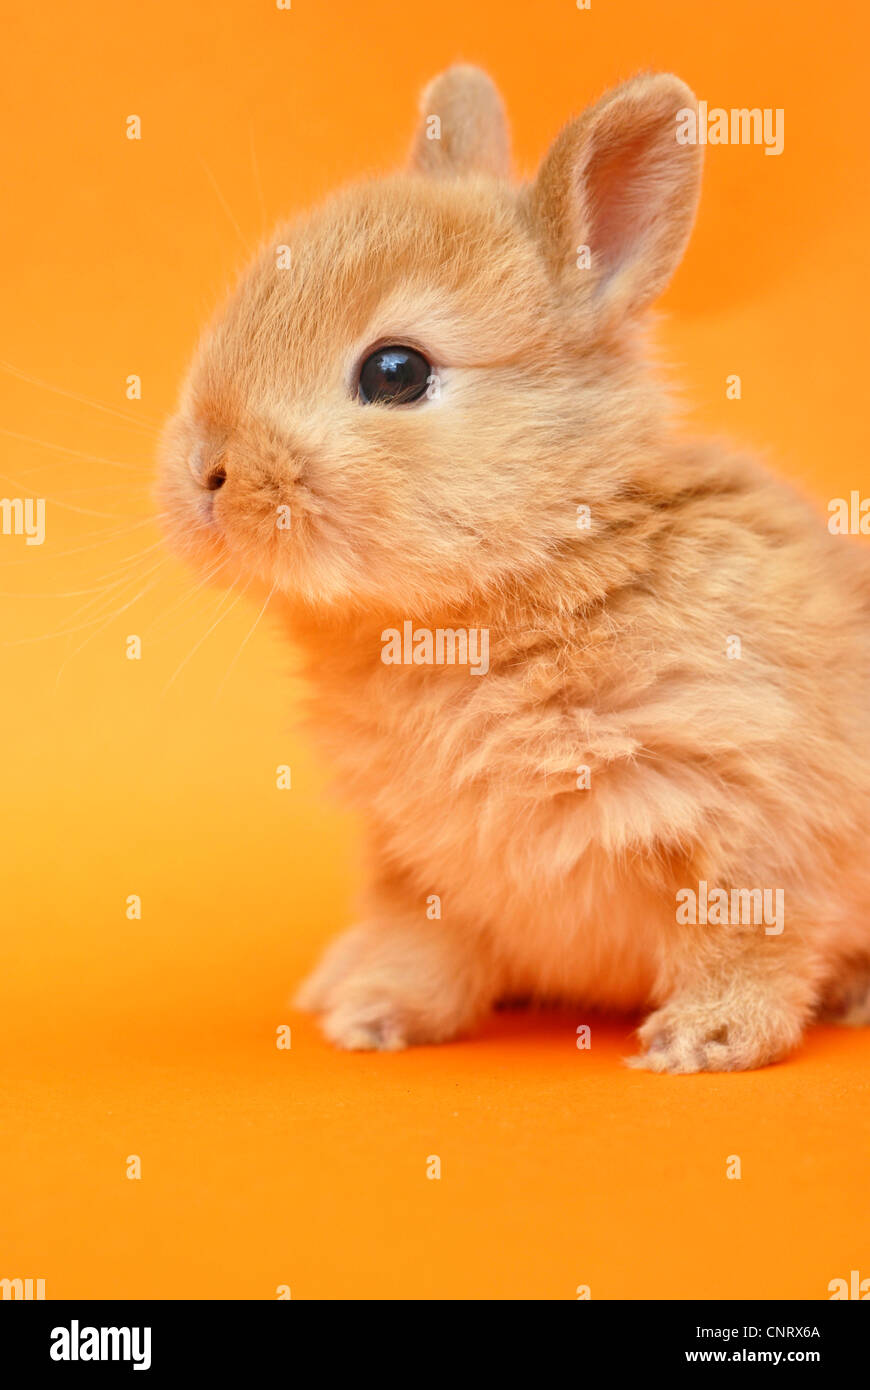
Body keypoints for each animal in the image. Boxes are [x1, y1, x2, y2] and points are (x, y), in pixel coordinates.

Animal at [158, 64, 870, 1072]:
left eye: (395, 372)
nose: (206, 474)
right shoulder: (416, 862)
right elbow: (421, 943)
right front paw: (375, 1016)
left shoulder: (751, 816)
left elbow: (750, 939)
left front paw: (705, 1041)